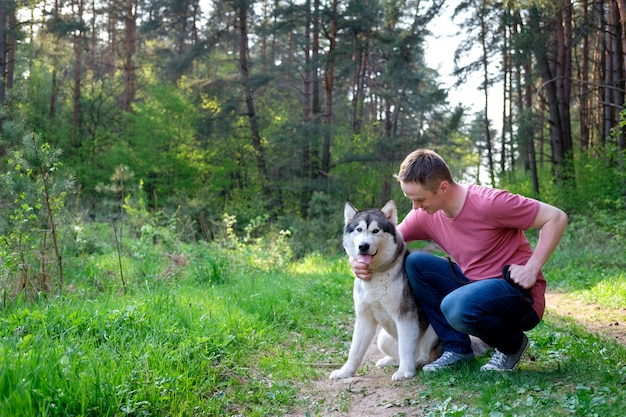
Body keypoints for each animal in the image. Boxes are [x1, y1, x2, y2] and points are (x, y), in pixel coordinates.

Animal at [330, 201, 442, 380]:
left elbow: (405, 348)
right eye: (359, 229)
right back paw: (390, 361)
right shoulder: (364, 318)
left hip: (432, 333)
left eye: (376, 230)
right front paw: (345, 371)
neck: (376, 274)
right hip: (383, 338)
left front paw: (405, 372)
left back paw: (415, 363)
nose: (363, 246)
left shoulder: (405, 316)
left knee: (423, 356)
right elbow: (354, 351)